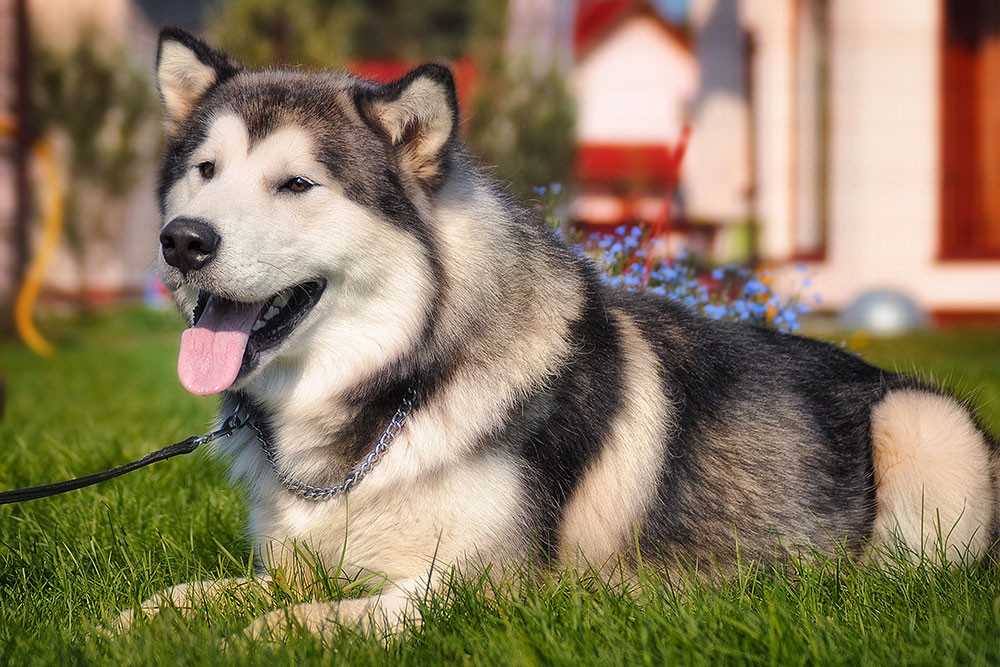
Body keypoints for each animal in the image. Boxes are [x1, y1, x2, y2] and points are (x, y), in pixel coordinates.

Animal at [119, 27, 1000, 640]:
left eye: (297, 184)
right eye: (204, 171)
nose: (182, 241)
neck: (404, 384)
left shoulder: (488, 584)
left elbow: (341, 613)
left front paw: (266, 633)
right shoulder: (299, 563)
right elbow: (184, 596)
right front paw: (135, 620)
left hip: (925, 425)